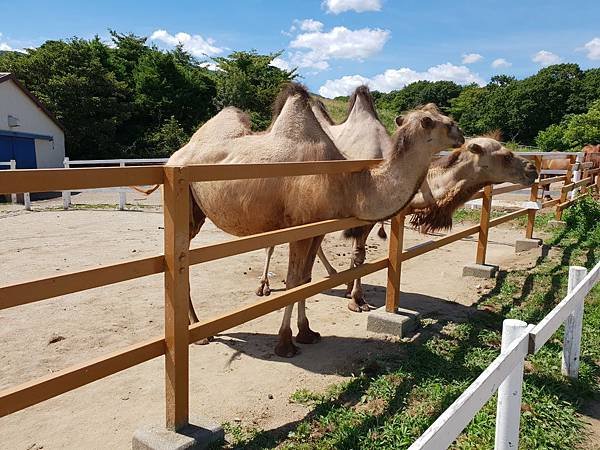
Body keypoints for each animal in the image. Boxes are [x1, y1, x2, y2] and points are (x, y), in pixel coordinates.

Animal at [166, 82, 466, 356]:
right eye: (432, 121)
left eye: (439, 114)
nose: (460, 133)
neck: (348, 183)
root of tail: (176, 155)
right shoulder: (300, 226)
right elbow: (293, 282)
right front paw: (285, 343)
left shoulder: (317, 228)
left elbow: (306, 279)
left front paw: (306, 332)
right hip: (186, 206)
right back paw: (200, 332)